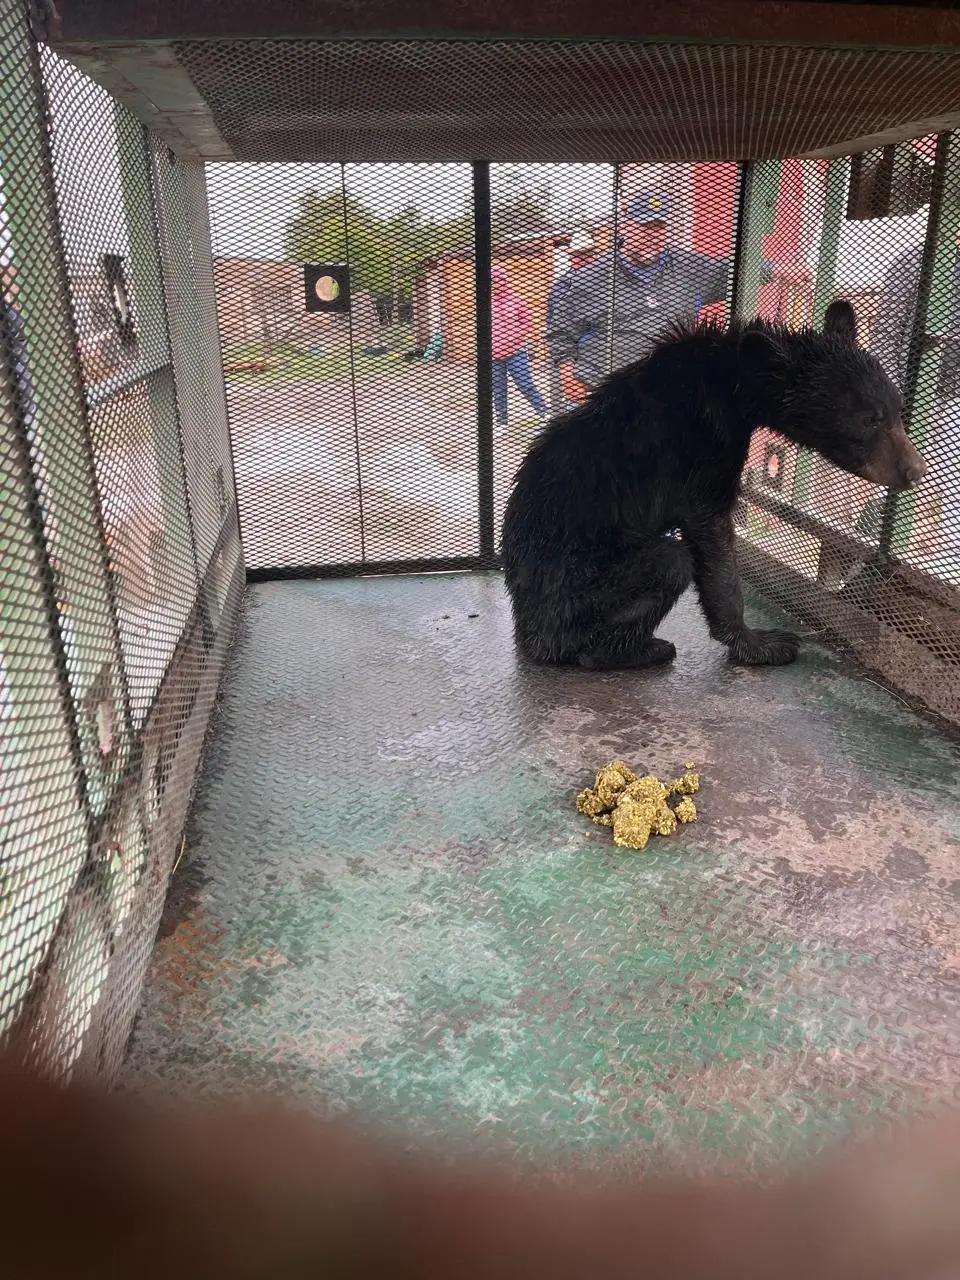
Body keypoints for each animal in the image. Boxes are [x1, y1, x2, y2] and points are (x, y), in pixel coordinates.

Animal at [501, 299, 926, 671]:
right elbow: (712, 532)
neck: (736, 386)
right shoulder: (705, 443)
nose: (915, 470)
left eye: (897, 408)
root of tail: (526, 632)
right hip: (582, 583)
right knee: (668, 562)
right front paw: (764, 644)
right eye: (870, 419)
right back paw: (638, 650)